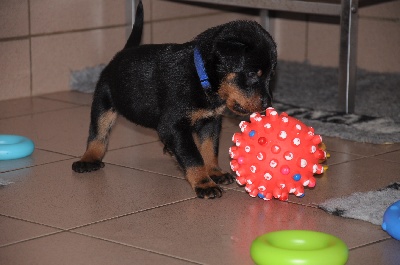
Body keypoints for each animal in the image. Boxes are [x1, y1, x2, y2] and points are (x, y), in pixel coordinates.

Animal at [72, 0, 276, 198]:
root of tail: (122, 53)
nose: (268, 103)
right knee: (98, 134)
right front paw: (204, 184)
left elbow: (209, 149)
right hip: (103, 100)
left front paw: (215, 172)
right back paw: (88, 160)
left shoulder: (210, 121)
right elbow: (193, 156)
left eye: (269, 77)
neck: (200, 77)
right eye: (251, 74)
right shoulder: (174, 125)